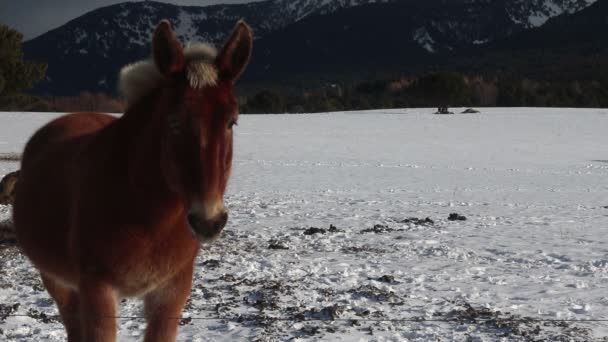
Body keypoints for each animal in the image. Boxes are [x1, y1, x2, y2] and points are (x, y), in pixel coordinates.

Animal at [14, 19, 252, 342]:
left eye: (231, 121)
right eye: (173, 121)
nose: (208, 221)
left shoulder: (170, 297)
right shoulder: (98, 294)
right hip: (58, 283)